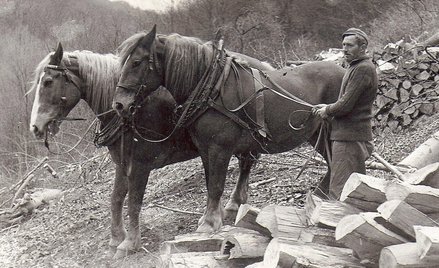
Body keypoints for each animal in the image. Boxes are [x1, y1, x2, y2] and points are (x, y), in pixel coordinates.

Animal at [28, 44, 262, 258]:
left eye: (48, 82)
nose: (35, 127)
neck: (130, 113)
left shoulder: (140, 166)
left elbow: (134, 203)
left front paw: (130, 243)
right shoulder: (122, 164)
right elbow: (116, 199)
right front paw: (116, 239)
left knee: (244, 164)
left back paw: (233, 204)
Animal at [113, 26, 348, 233]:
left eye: (136, 62)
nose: (119, 104)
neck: (213, 89)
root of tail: (343, 70)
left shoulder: (220, 148)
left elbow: (217, 185)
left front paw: (209, 223)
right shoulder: (205, 149)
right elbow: (210, 184)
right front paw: (210, 217)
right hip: (316, 134)